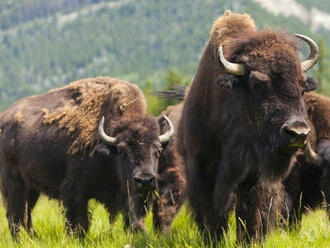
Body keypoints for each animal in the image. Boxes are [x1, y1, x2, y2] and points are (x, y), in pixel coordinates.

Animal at [0, 77, 174, 238]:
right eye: (122, 150)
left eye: (157, 150)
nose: (144, 180)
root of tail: (4, 119)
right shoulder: (75, 193)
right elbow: (80, 223)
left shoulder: (129, 195)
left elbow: (133, 219)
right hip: (15, 184)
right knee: (15, 217)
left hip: (32, 188)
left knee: (26, 215)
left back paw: (34, 238)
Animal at [178, 11, 320, 244]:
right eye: (257, 84)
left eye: (302, 87)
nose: (298, 133)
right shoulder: (203, 169)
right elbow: (212, 213)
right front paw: (214, 240)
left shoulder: (254, 176)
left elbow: (250, 212)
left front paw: (250, 240)